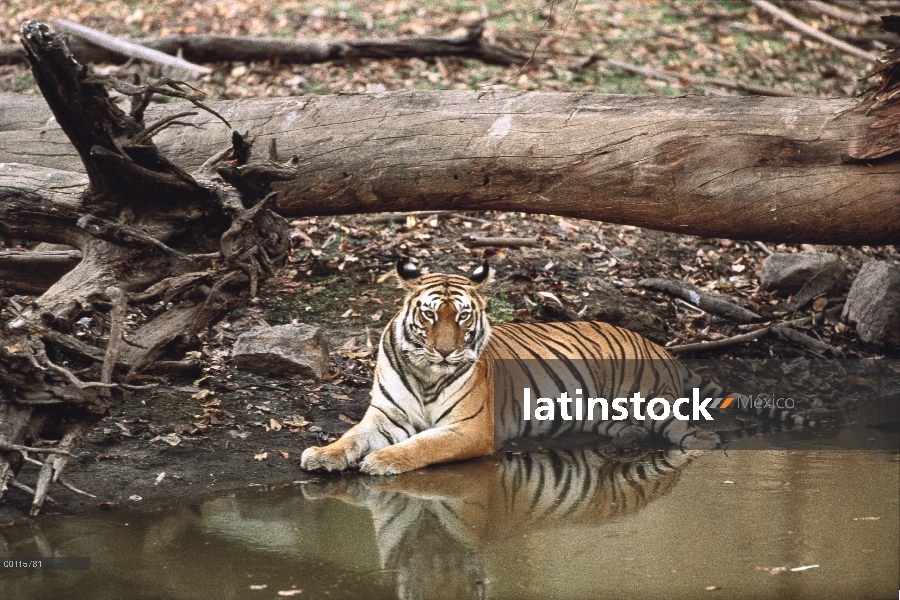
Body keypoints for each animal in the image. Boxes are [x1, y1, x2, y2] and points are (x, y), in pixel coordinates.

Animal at [302, 260, 732, 476]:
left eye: (462, 317)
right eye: (429, 315)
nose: (445, 353)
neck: (428, 374)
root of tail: (659, 346)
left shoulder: (470, 428)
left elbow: (423, 444)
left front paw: (383, 461)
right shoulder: (384, 416)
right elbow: (350, 437)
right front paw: (323, 455)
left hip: (652, 403)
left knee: (701, 437)